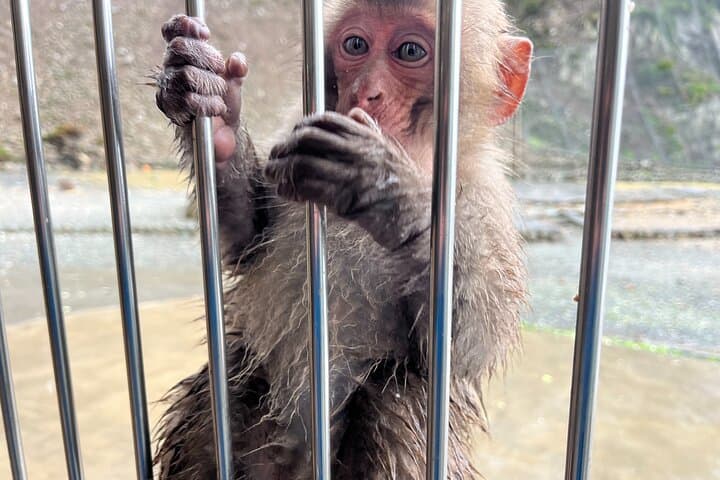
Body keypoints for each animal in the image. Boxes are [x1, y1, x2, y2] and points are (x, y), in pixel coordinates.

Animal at [153, 1, 532, 478]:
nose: (366, 92)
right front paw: (215, 110)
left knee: (396, 396)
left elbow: (467, 346)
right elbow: (249, 239)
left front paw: (383, 184)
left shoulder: (484, 201)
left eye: (410, 51)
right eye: (355, 45)